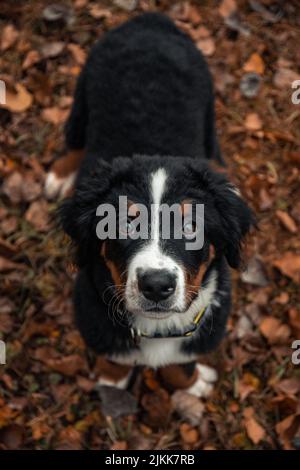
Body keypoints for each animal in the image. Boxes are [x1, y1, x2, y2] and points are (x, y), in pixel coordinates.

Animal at [45, 13, 254, 396]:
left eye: (191, 225)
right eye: (122, 224)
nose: (156, 285)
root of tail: (151, 20)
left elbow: (180, 362)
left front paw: (191, 384)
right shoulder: (91, 310)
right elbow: (114, 352)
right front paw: (112, 378)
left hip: (209, 115)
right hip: (82, 96)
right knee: (74, 139)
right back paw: (60, 174)